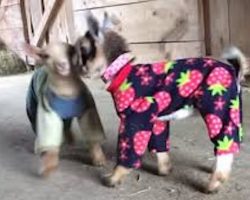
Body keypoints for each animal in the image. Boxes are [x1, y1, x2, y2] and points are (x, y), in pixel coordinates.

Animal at [76, 12, 250, 192]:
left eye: (83, 50)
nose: (77, 66)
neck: (121, 70)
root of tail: (233, 70)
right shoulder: (157, 120)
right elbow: (160, 147)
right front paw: (164, 170)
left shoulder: (134, 120)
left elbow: (128, 152)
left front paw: (114, 177)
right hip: (232, 110)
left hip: (218, 109)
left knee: (224, 144)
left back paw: (214, 183)